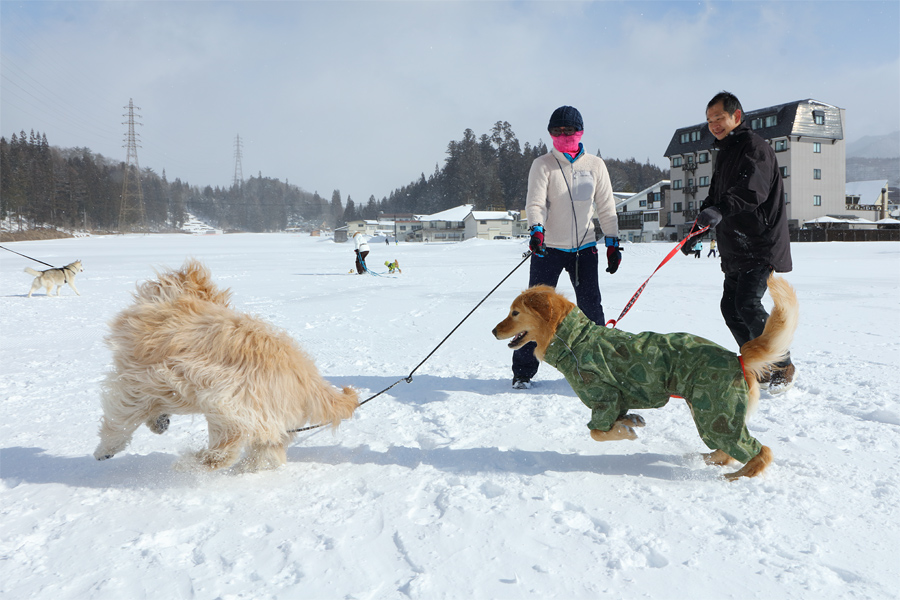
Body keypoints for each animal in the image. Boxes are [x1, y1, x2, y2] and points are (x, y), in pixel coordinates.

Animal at [92, 258, 358, 474]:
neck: (180, 300)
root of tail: (310, 380)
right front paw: (158, 422)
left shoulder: (137, 380)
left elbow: (121, 419)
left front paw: (105, 449)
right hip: (266, 419)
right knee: (268, 452)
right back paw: (245, 467)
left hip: (226, 400)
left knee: (226, 450)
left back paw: (192, 463)